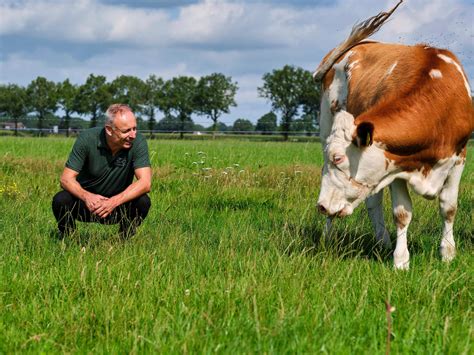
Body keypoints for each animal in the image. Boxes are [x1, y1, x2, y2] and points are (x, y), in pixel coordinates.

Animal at [312, 1, 472, 270]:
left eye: (338, 159)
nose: (322, 205)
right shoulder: (395, 165)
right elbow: (402, 213)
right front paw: (401, 261)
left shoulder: (459, 156)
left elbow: (449, 207)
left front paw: (448, 253)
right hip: (326, 124)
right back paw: (330, 236)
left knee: (371, 200)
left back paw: (381, 241)